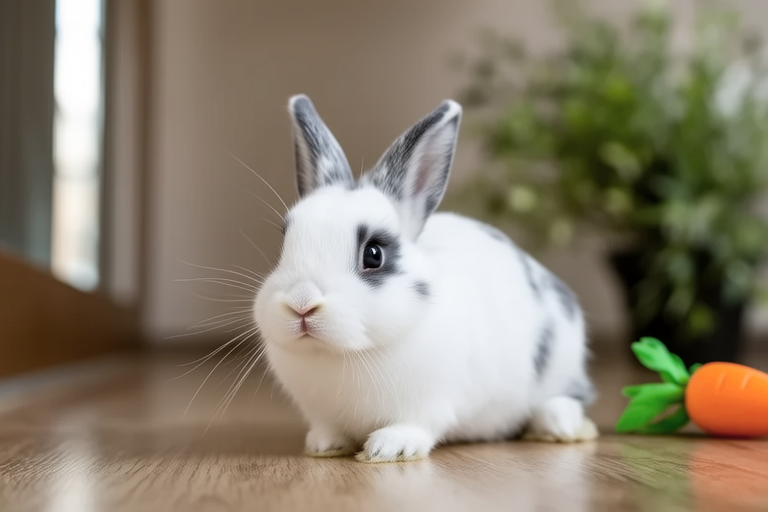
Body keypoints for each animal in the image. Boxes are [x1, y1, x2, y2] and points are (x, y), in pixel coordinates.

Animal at [253, 94, 598, 463]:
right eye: (284, 245)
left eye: (373, 254)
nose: (301, 303)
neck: (344, 354)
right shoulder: (321, 412)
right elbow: (328, 429)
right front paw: (324, 446)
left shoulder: (431, 404)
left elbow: (415, 426)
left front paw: (387, 448)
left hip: (562, 365)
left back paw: (557, 425)